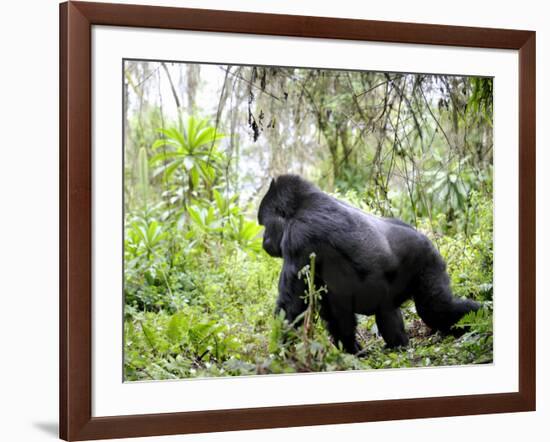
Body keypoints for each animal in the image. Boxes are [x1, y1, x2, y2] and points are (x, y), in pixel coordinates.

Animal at [260, 174, 480, 354]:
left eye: (264, 225)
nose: (263, 241)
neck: (299, 206)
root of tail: (424, 237)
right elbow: (334, 310)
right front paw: (351, 350)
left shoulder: (297, 237)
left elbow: (291, 307)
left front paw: (278, 352)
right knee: (390, 311)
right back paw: (399, 345)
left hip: (427, 260)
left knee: (435, 309)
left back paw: (480, 318)